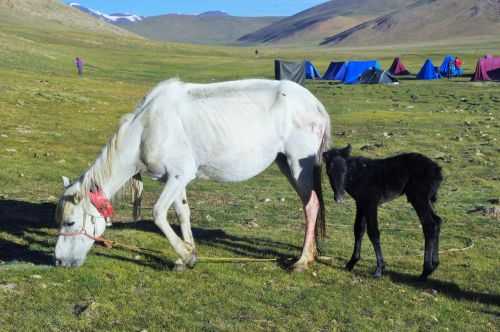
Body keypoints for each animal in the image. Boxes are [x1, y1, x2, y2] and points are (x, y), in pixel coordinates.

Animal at [54, 79, 330, 272]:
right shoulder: (174, 180)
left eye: (70, 222)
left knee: (311, 205)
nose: (59, 261)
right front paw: (187, 253)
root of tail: (316, 104)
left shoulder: (179, 175)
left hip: (298, 165)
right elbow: (182, 213)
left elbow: (158, 213)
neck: (147, 130)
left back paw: (302, 260)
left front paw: (186, 256)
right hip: (285, 163)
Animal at [326, 145, 444, 280]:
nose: (339, 198)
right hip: (426, 200)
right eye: (328, 172)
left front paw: (379, 269)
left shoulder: (371, 202)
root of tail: (438, 171)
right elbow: (358, 229)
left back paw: (426, 271)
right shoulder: (361, 203)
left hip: (419, 197)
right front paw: (351, 263)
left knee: (429, 225)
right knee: (437, 221)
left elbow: (373, 232)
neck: (358, 174)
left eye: (345, 171)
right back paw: (435, 264)